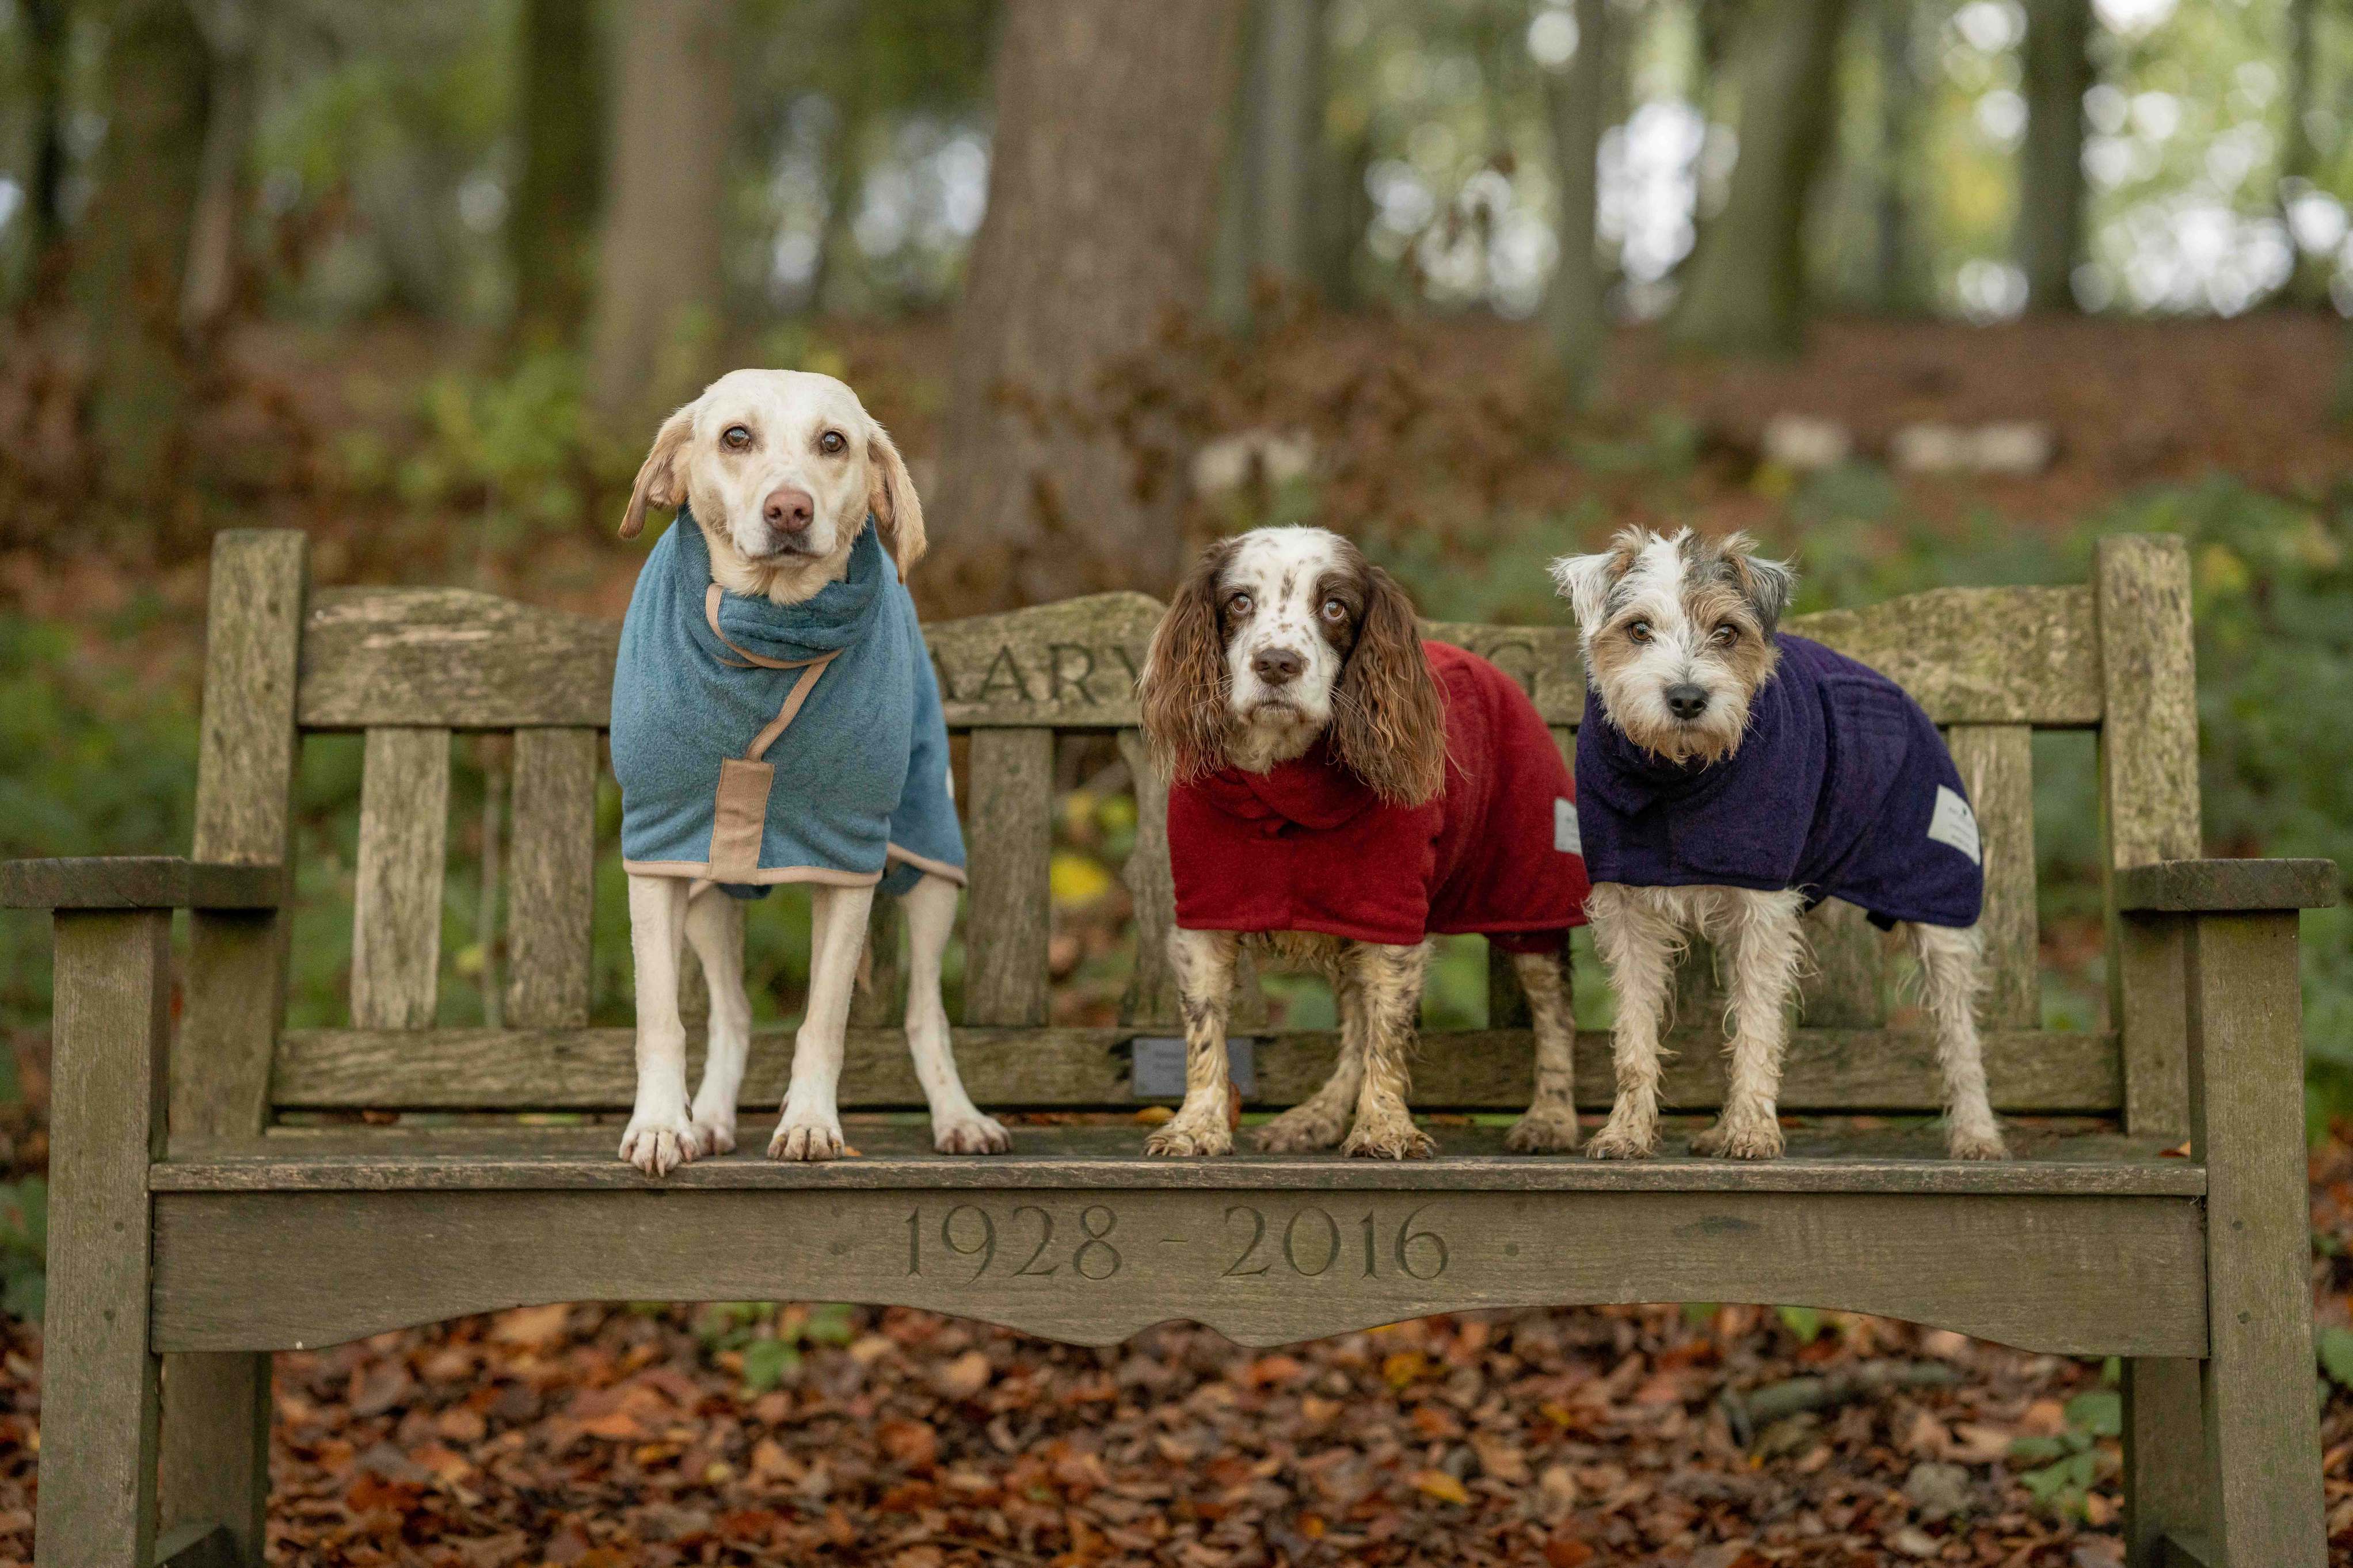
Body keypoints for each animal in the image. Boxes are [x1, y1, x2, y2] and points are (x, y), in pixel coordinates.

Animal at [611, 373, 1007, 1170]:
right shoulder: (658, 850)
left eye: (833, 442)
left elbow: (822, 1020)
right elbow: (660, 1018)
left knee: (925, 1013)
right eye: (735, 437)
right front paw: (662, 1124)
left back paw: (959, 1118)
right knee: (732, 1011)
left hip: (930, 866)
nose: (789, 508)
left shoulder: (847, 858)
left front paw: (810, 1123)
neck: (768, 635)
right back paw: (709, 1119)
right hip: (705, 895)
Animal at [1562, 533, 2004, 1161]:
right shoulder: (1627, 910)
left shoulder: (1763, 906)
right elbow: (1634, 1035)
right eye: (1638, 629)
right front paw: (1626, 1131)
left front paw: (1751, 1129)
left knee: (1960, 1032)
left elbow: (1756, 1026)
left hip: (1937, 889)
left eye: (1726, 631)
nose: (1687, 698)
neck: (1676, 781)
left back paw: (1976, 1133)